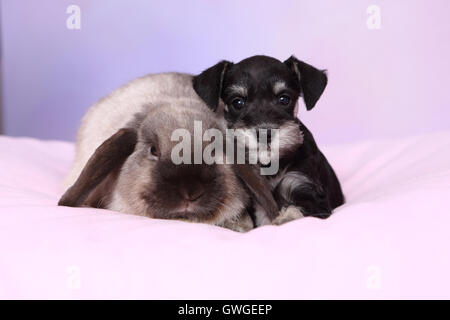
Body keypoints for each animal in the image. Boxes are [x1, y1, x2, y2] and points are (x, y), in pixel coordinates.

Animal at [193, 55, 344, 225]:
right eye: (237, 102)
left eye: (284, 99)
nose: (265, 133)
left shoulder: (305, 190)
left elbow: (296, 211)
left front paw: (284, 217)